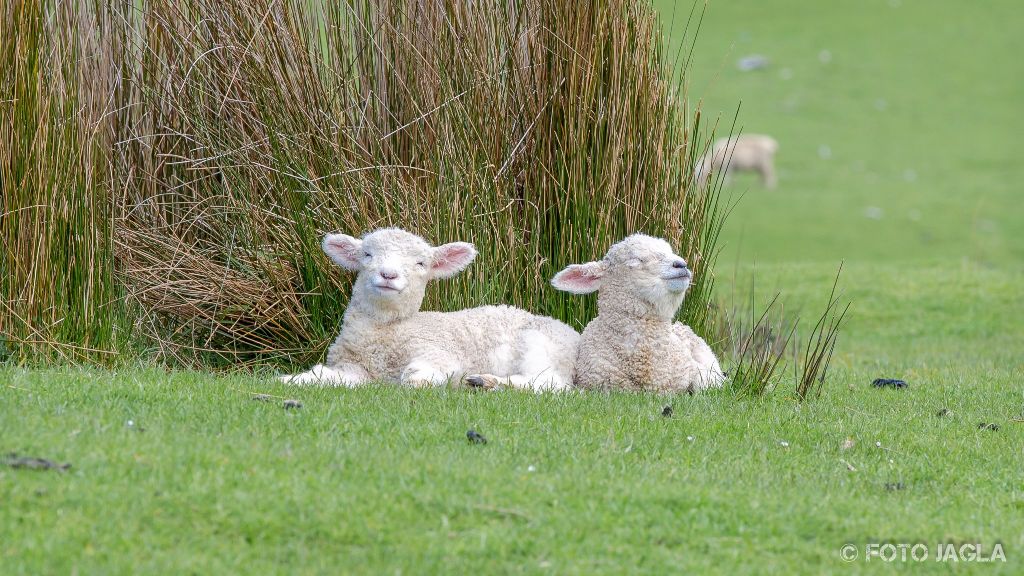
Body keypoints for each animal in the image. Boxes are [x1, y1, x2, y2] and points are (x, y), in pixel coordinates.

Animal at [280, 225, 581, 389]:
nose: (388, 275)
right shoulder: (354, 367)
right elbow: (325, 375)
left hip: (543, 345)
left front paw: (425, 381)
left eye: (421, 263)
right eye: (367, 254)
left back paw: (488, 382)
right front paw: (291, 380)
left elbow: (414, 377)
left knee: (552, 385)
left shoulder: (437, 351)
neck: (389, 329)